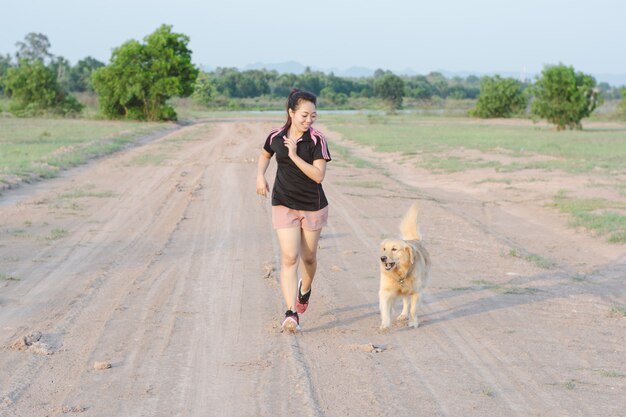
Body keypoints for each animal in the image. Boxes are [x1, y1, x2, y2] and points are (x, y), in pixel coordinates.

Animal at [376, 200, 428, 330]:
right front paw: (385, 325)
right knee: (405, 301)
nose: (382, 258)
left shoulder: (416, 292)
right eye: (384, 249)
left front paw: (413, 323)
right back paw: (403, 315)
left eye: (394, 249)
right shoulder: (385, 291)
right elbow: (385, 310)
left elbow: (413, 310)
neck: (400, 274)